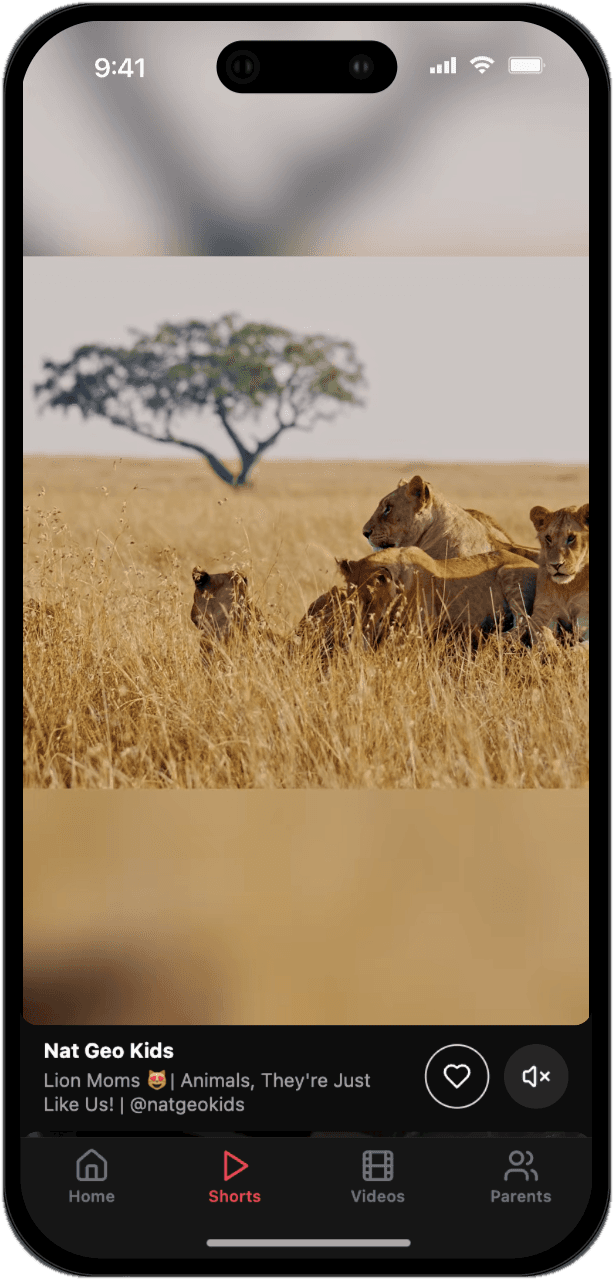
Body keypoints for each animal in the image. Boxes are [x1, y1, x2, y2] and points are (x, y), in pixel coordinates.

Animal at [337, 546, 538, 640]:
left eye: (369, 599)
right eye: (351, 600)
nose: (358, 628)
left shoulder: (424, 622)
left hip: (508, 573)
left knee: (525, 621)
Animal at [505, 504, 589, 647]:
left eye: (571, 538)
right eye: (548, 538)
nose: (556, 565)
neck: (567, 587)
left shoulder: (584, 614)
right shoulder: (542, 611)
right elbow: (542, 633)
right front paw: (551, 649)